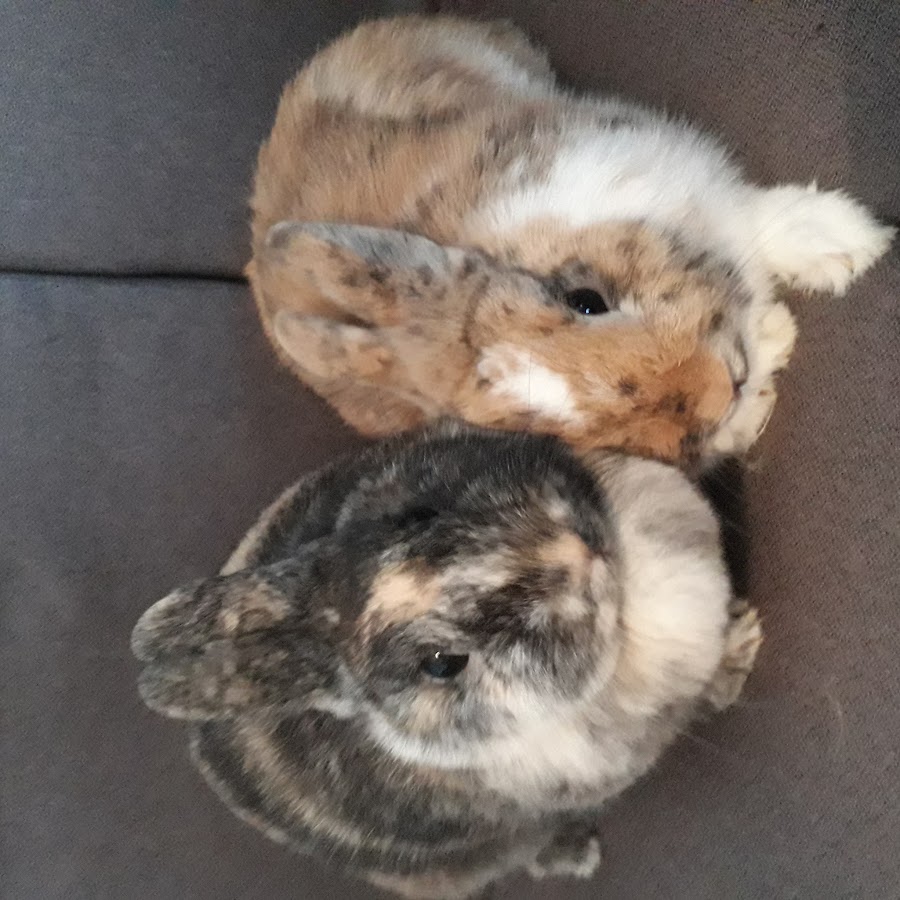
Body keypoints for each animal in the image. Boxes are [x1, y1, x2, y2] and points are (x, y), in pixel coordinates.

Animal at [246, 15, 893, 467]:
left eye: (585, 299)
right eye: (548, 429)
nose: (716, 393)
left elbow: (753, 220)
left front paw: (849, 243)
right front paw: (768, 361)